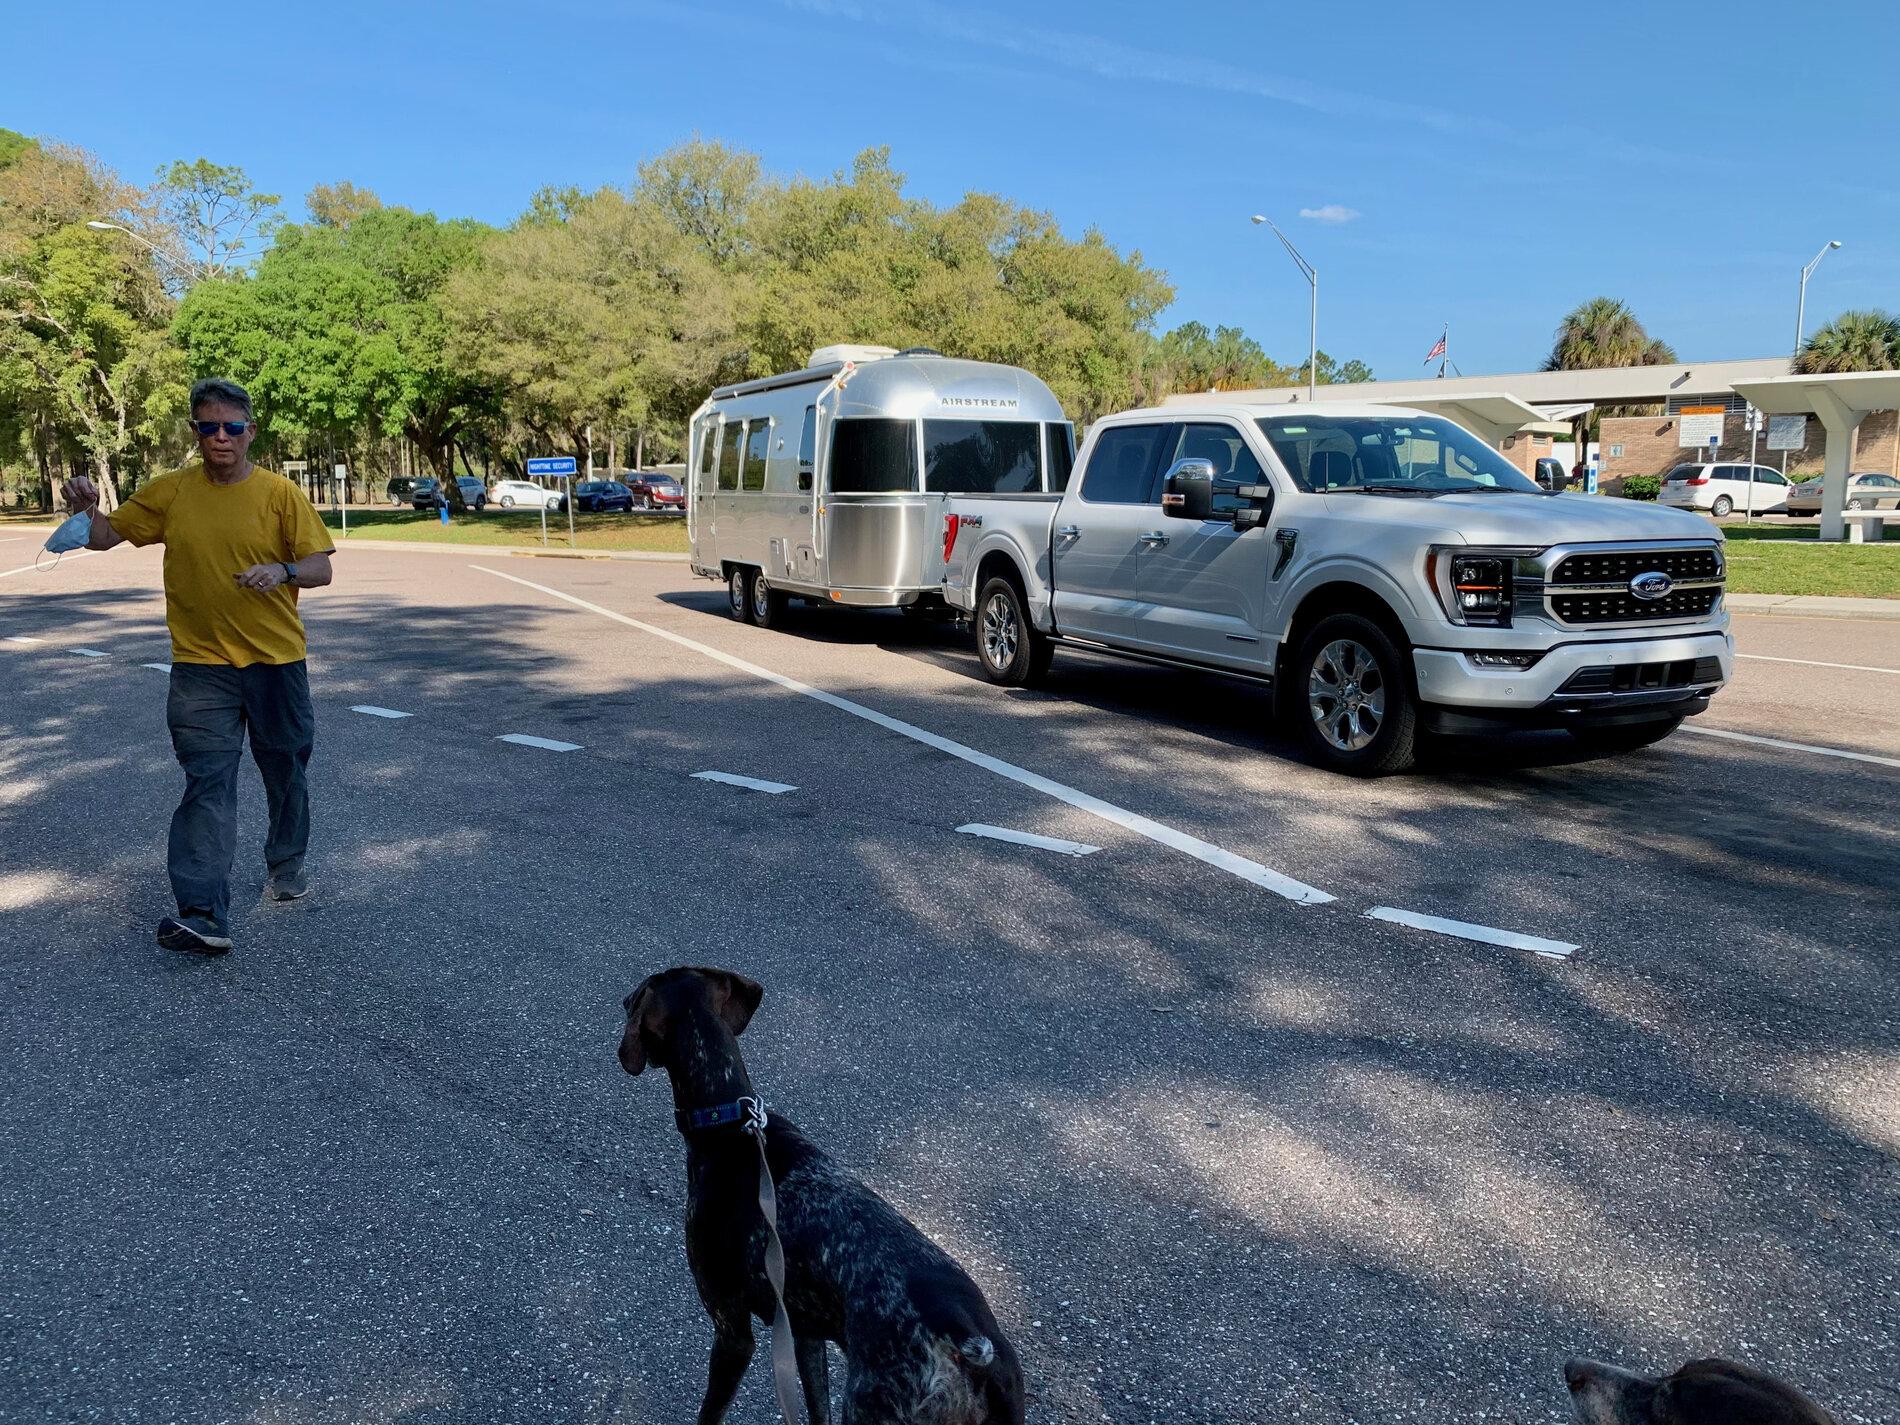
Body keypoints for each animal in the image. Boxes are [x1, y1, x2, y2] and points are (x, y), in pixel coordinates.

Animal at [619, 972, 1026, 1425]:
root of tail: (969, 1345)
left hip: (869, 1408)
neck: (729, 1125)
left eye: (635, 997)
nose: (621, 1000)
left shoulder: (732, 1331)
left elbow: (711, 1412)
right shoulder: (805, 1334)